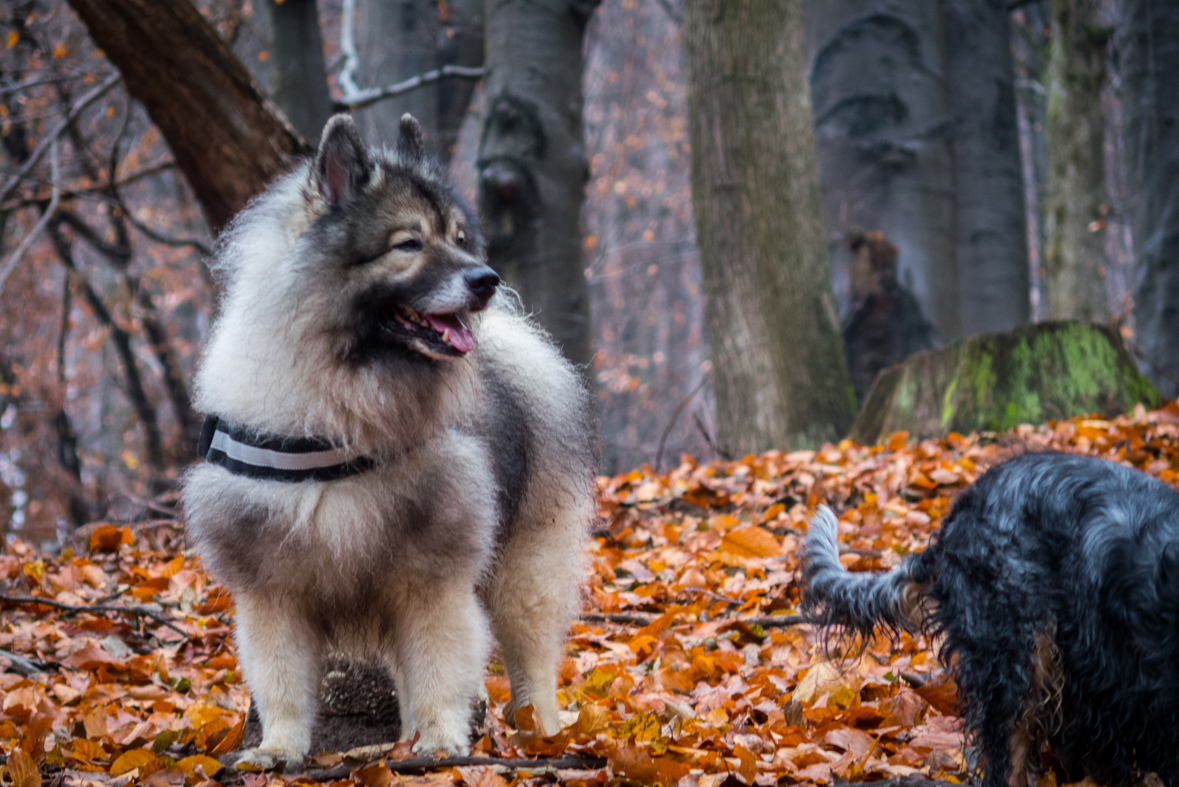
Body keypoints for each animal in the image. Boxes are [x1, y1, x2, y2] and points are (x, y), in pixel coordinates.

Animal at [182, 115, 594, 768]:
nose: (487, 280)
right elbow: (281, 681)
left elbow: (439, 667)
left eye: (458, 239)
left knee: (531, 661)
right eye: (409, 244)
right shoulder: (272, 587)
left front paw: (443, 741)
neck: (343, 400)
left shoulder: (431, 575)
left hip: (525, 569)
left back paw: (541, 733)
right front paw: (278, 749)